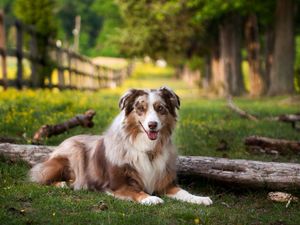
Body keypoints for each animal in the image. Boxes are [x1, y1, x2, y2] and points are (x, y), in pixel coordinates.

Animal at [29, 86, 212, 206]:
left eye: (160, 108)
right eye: (140, 108)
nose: (152, 125)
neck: (147, 149)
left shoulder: (165, 183)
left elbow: (184, 192)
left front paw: (200, 198)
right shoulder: (117, 185)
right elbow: (136, 191)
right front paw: (150, 198)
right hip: (72, 154)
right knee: (39, 177)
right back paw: (62, 184)